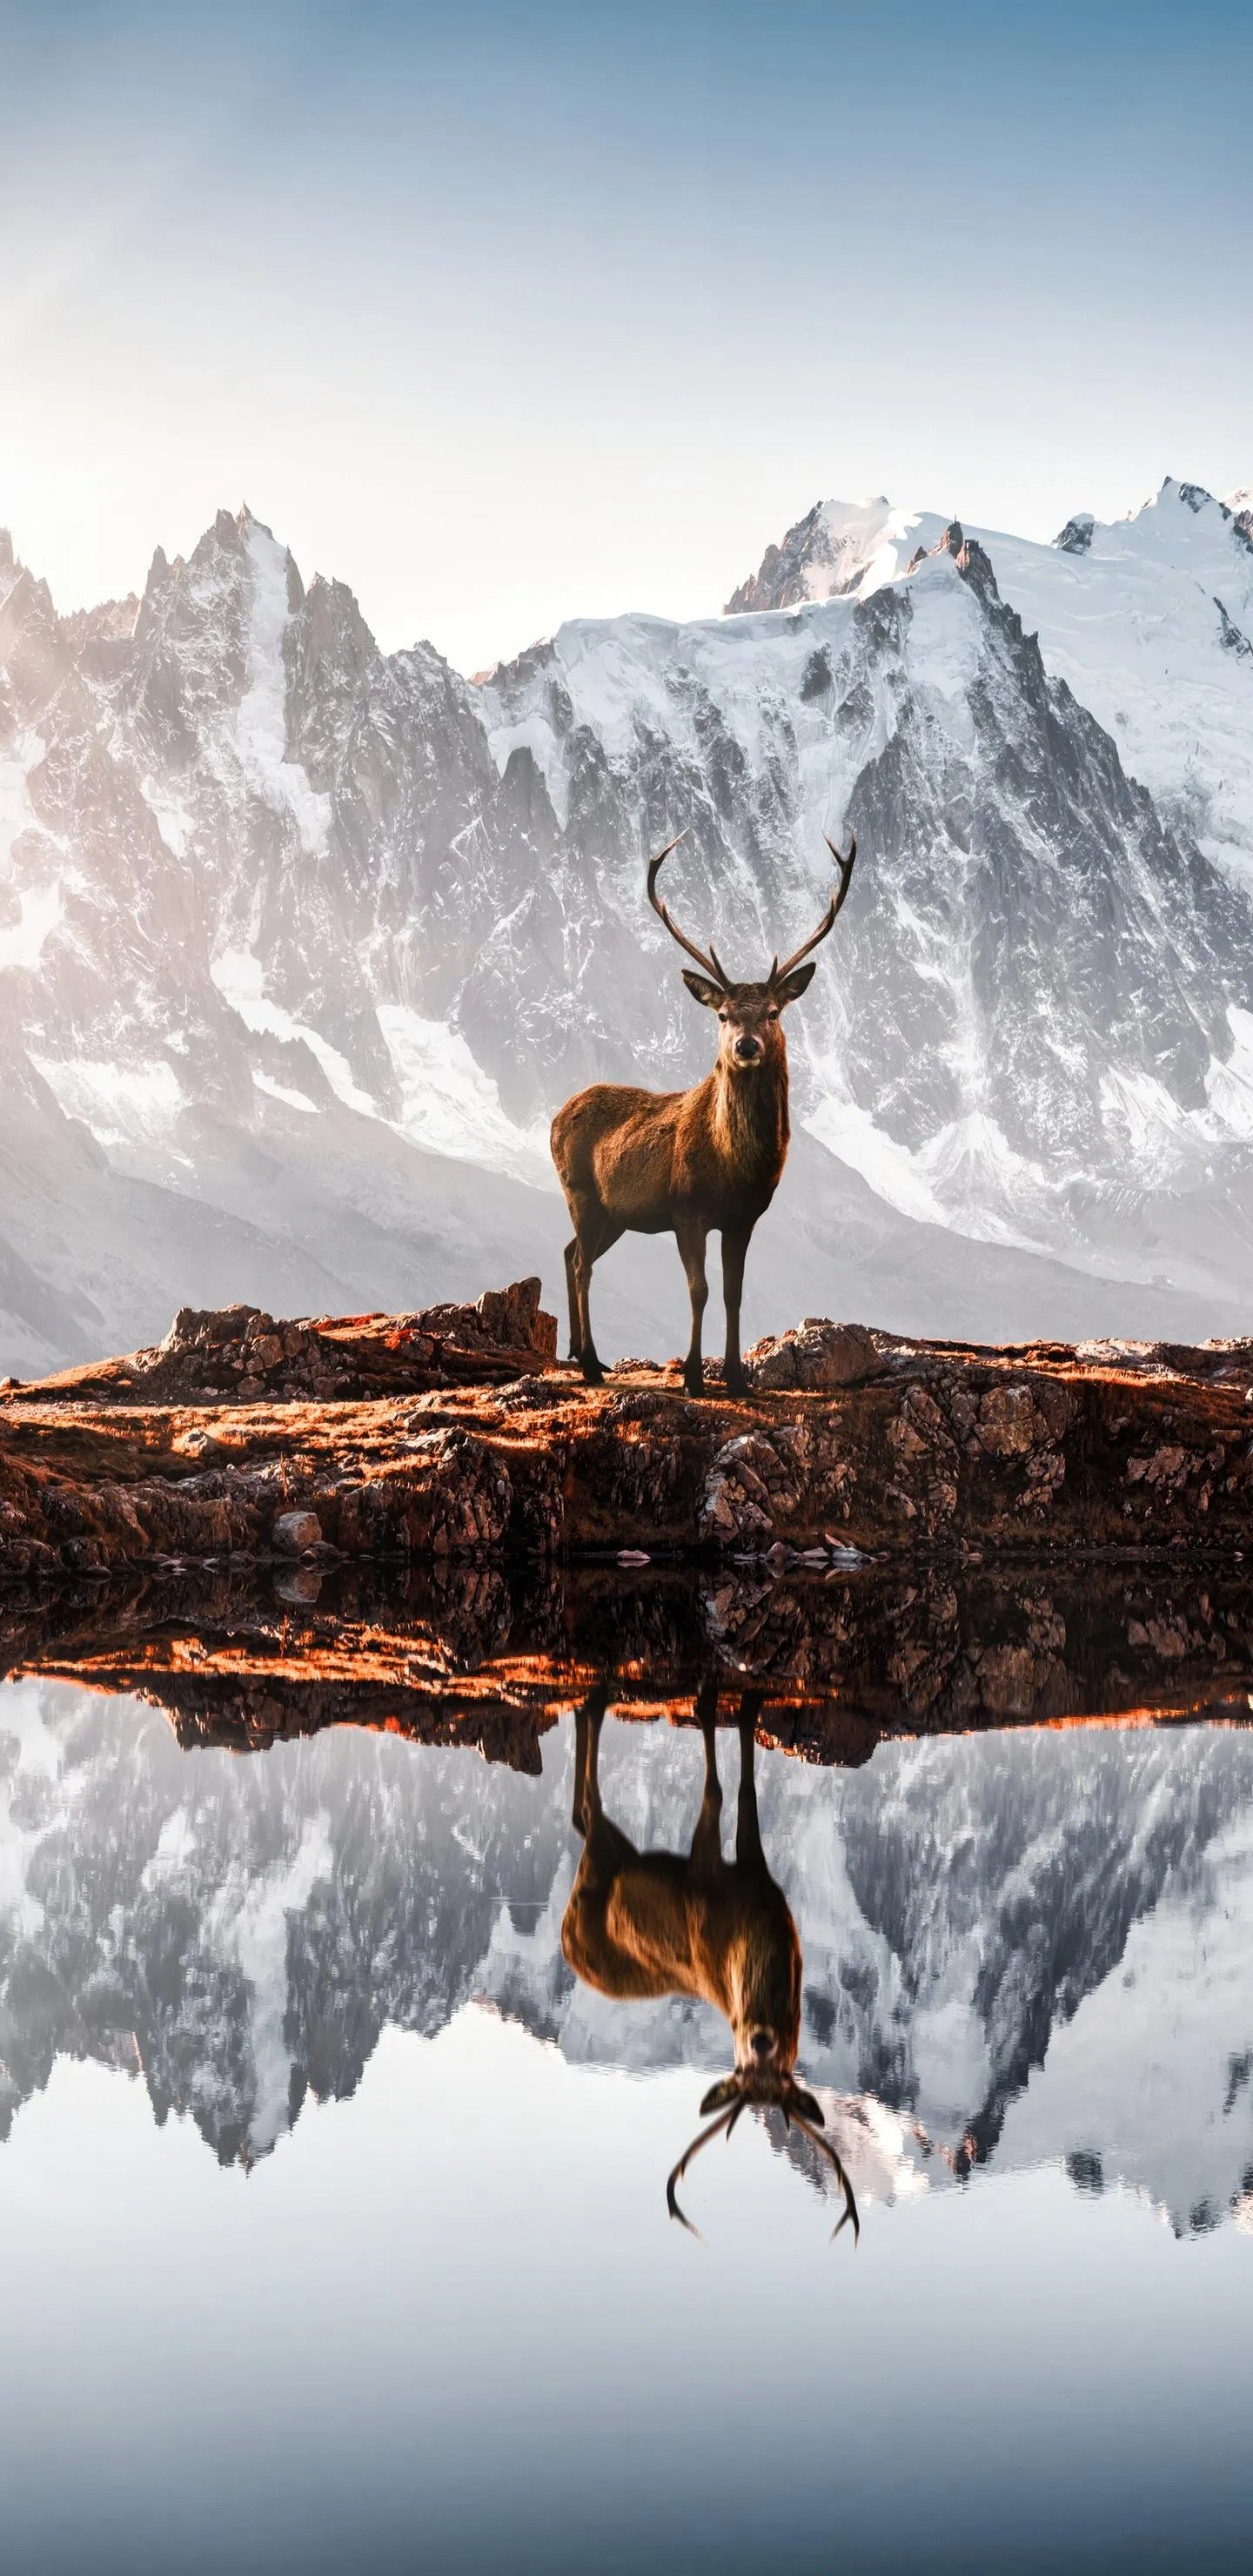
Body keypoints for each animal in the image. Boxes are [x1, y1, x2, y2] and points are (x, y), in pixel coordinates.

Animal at [550, 832, 856, 1395]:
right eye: (722, 1014)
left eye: (773, 1011)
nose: (746, 1045)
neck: (734, 1167)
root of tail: (556, 1116)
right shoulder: (685, 1210)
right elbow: (700, 1290)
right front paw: (693, 1375)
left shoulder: (744, 1219)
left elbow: (735, 1293)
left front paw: (736, 1377)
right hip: (579, 1189)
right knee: (582, 1265)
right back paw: (591, 1364)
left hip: (614, 1212)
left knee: (569, 1252)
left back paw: (580, 1352)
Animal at [561, 1681, 859, 2242]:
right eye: (740, 2067)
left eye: (782, 2071)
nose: (761, 2037)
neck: (752, 1934)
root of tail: (566, 1943)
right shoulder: (706, 1884)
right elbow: (723, 1791)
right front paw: (716, 1705)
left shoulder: (760, 1882)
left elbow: (742, 1790)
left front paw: (741, 1708)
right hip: (596, 1872)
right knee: (590, 1804)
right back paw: (597, 1698)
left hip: (612, 1855)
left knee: (582, 1816)